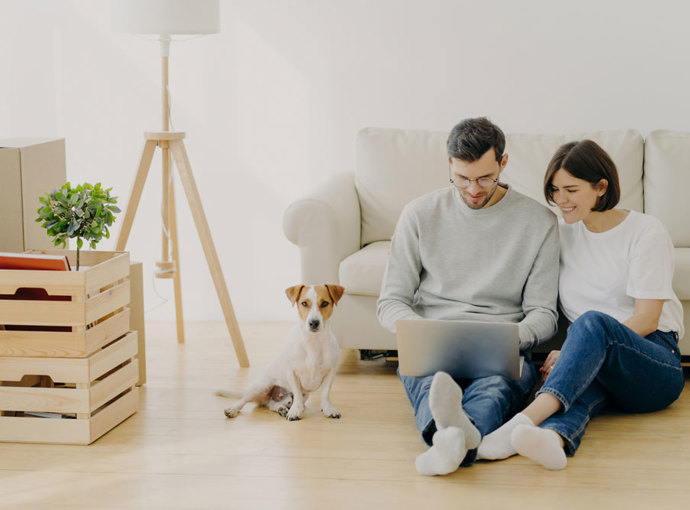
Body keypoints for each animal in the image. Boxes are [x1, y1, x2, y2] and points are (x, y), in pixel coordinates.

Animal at [216, 284, 342, 420]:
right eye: (304, 303)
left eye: (324, 303)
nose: (313, 323)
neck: (313, 342)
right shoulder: (292, 373)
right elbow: (297, 395)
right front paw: (296, 411)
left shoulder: (330, 373)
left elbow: (325, 394)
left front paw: (328, 408)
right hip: (261, 386)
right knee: (243, 400)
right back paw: (233, 409)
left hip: (300, 396)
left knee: (272, 404)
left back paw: (281, 408)